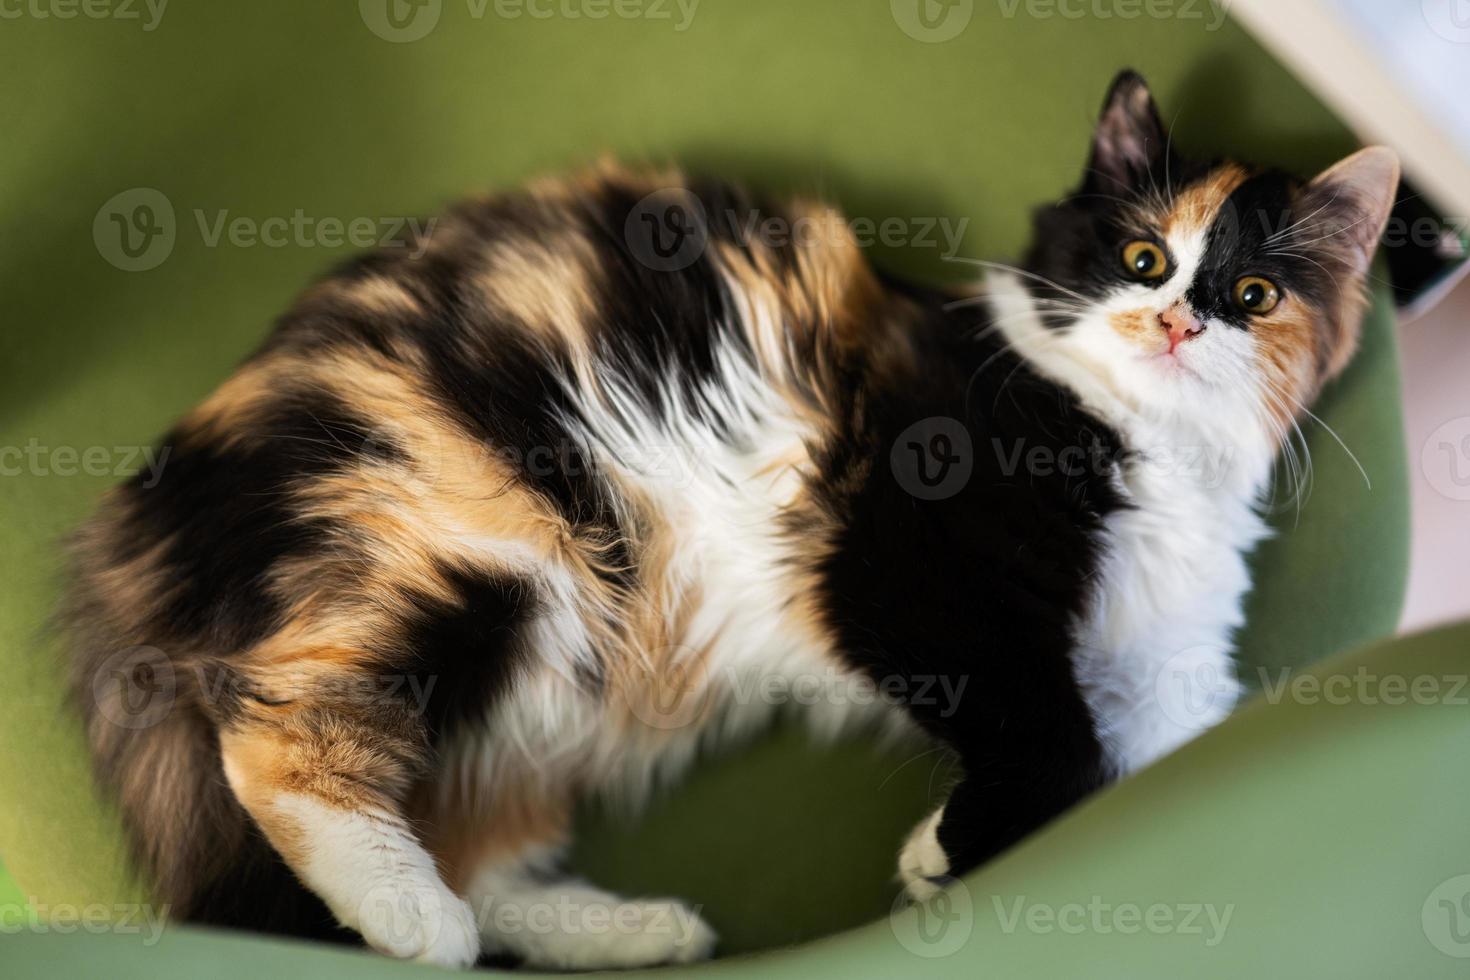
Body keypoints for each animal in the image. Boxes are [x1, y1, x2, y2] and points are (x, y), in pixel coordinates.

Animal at [69, 72, 1393, 969]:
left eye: (1253, 292)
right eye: (1141, 255)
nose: (1175, 322)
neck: (1140, 440)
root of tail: (134, 528)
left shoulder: (1164, 664)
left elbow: (1136, 754)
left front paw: (949, 843)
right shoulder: (907, 565)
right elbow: (1061, 742)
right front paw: (941, 849)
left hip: (545, 691)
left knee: (478, 852)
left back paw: (637, 929)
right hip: (470, 542)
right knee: (277, 729)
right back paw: (411, 917)